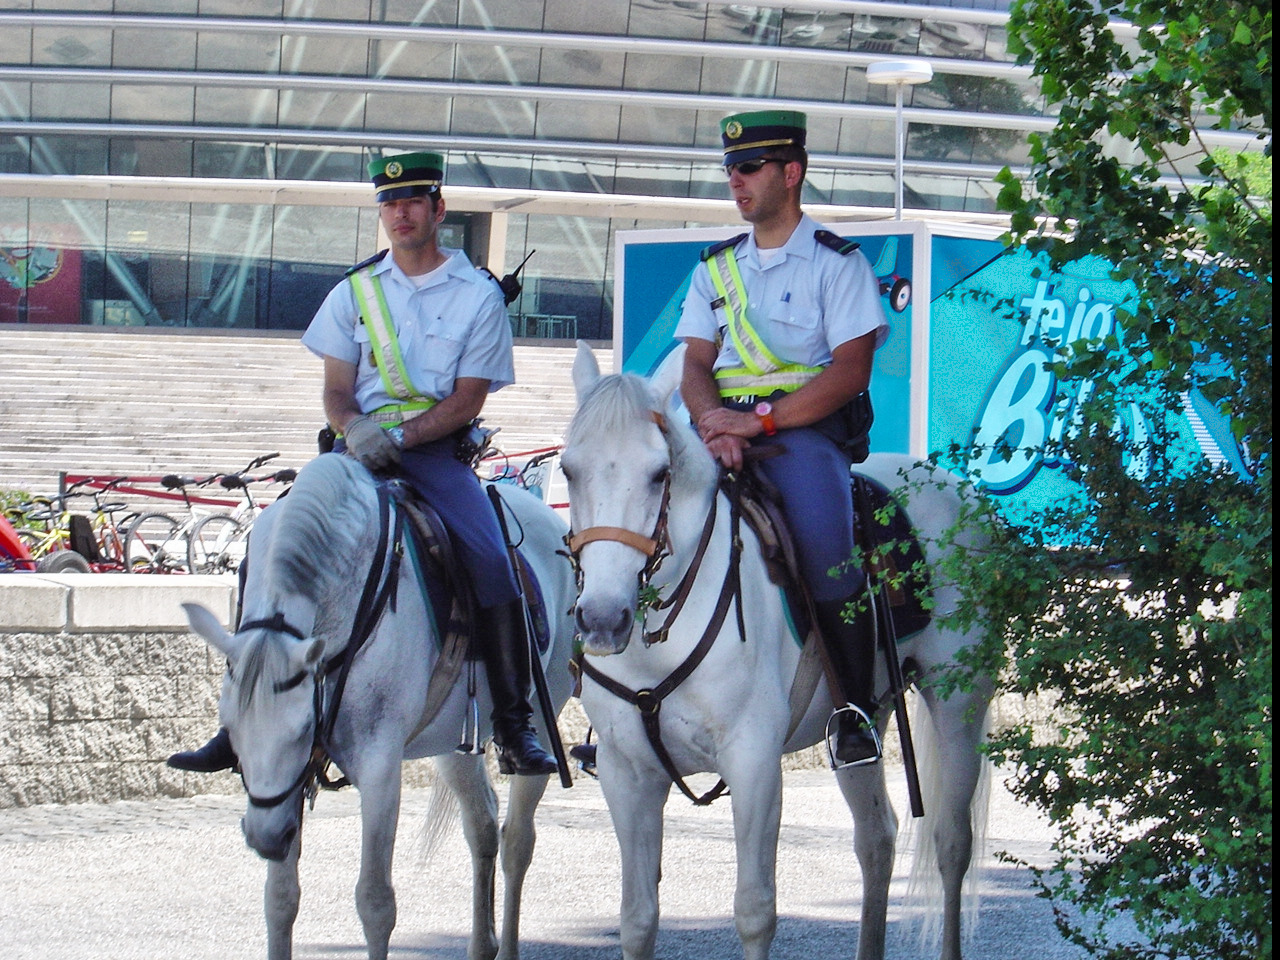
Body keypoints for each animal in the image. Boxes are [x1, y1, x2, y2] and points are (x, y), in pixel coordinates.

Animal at [184, 453, 576, 960]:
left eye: (301, 729)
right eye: (229, 728)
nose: (265, 839)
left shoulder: (378, 765)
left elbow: (374, 901)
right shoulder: (285, 790)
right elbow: (280, 899)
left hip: (544, 719)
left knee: (518, 841)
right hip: (453, 742)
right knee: (484, 826)